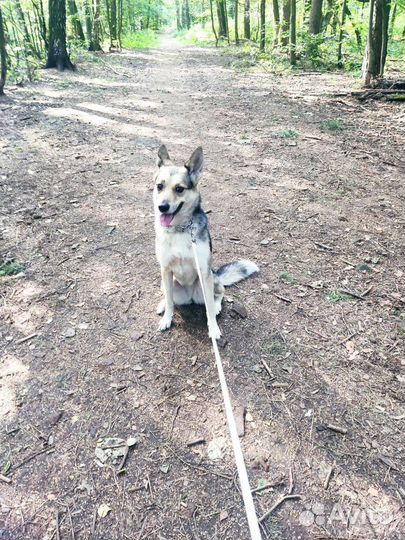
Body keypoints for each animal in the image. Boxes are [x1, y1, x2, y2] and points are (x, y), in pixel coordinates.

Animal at [153, 143, 258, 338]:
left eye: (179, 189)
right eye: (159, 186)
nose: (162, 207)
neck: (180, 229)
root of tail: (190, 297)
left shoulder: (203, 271)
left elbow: (208, 307)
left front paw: (214, 328)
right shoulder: (166, 269)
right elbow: (170, 302)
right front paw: (167, 318)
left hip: (210, 280)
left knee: (220, 293)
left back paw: (216, 307)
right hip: (168, 282)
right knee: (169, 296)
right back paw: (163, 304)